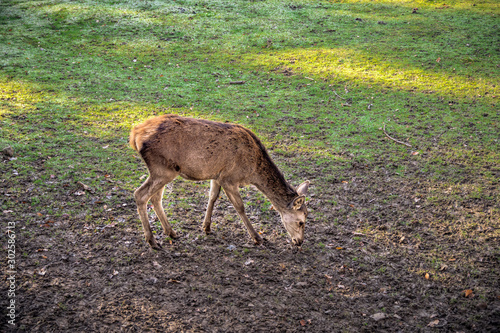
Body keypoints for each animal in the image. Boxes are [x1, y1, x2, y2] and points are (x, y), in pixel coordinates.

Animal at [129, 113, 308, 246]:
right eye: (301, 222)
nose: (299, 242)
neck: (253, 171)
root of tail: (134, 135)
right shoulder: (230, 178)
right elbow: (240, 207)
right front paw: (257, 237)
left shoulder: (217, 175)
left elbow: (213, 197)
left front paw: (206, 227)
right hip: (162, 170)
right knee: (140, 195)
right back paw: (152, 241)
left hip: (163, 171)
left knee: (155, 198)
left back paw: (171, 232)